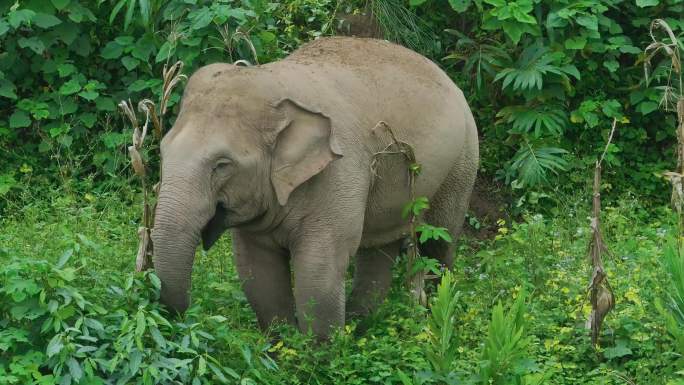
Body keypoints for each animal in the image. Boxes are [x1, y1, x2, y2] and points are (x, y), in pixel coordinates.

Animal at [152, 36, 478, 336]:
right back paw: (360, 328)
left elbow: (318, 269)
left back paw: (436, 317)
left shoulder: (339, 171)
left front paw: (319, 355)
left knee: (439, 241)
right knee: (378, 248)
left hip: (462, 162)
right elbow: (257, 268)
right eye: (162, 152)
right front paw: (281, 347)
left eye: (222, 164)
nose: (183, 316)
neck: (272, 82)